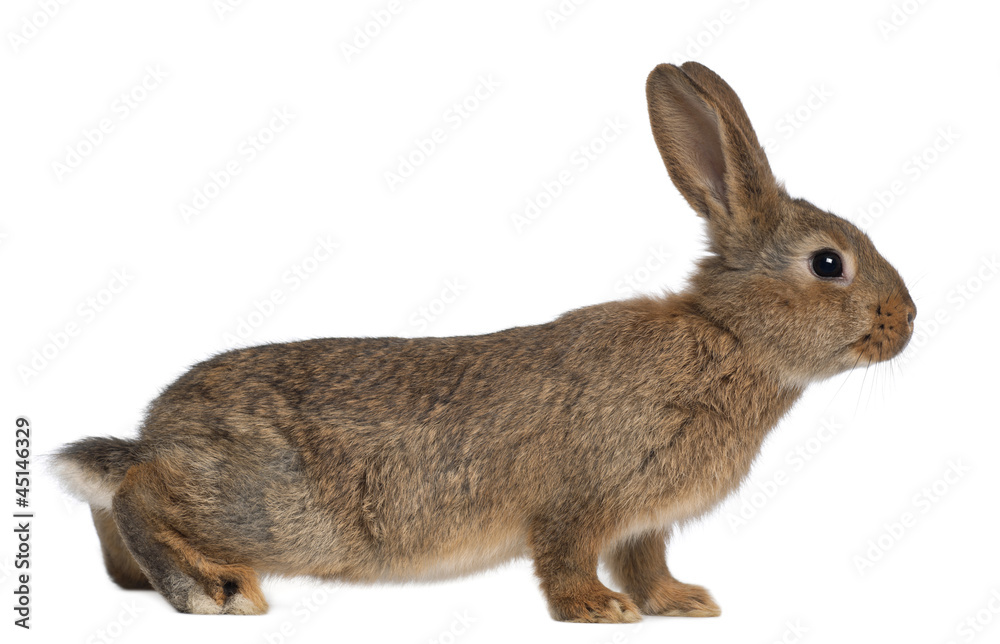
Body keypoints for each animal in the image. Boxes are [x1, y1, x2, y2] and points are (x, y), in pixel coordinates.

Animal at [53, 61, 916, 623]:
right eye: (828, 263)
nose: (906, 320)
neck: (729, 336)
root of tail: (156, 432)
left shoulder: (646, 521)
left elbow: (648, 564)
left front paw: (683, 604)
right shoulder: (583, 497)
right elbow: (567, 557)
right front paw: (599, 611)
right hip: (266, 508)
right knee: (135, 496)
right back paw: (215, 590)